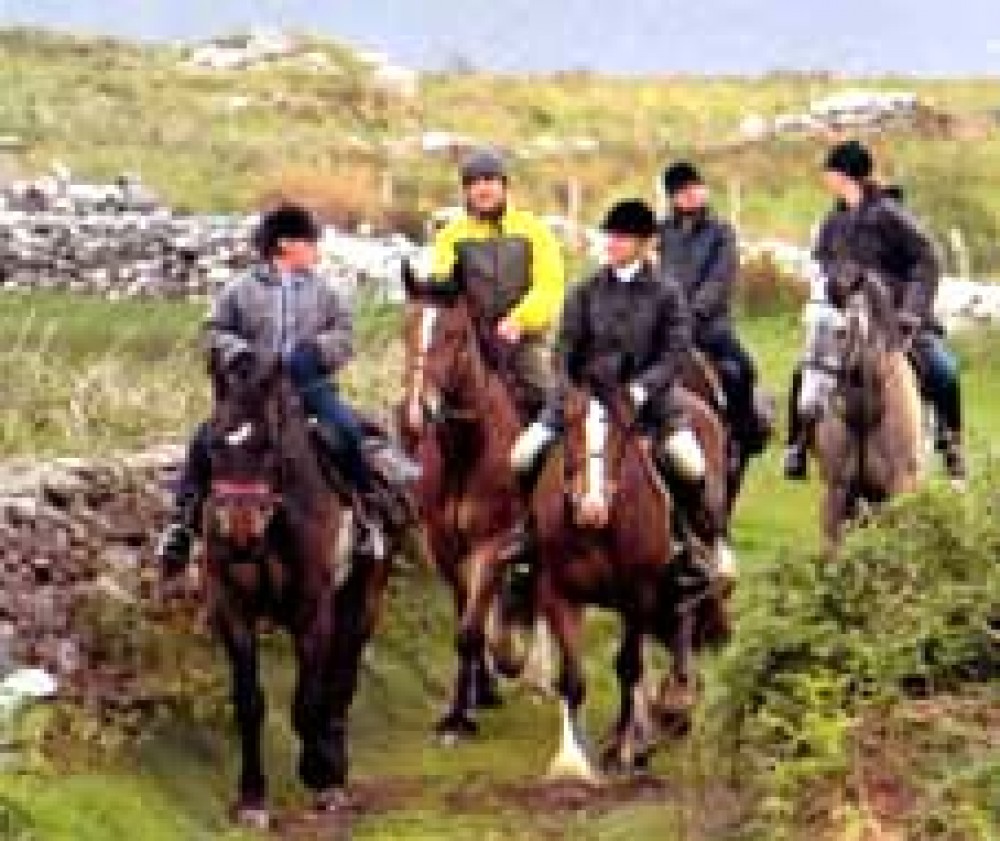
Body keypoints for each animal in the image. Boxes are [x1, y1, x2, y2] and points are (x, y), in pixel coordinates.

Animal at [199, 356, 394, 828]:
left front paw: (319, 771)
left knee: (342, 683)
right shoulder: (232, 609)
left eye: (270, 447)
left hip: (363, 603)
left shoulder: (312, 614)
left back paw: (334, 769)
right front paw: (252, 798)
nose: (239, 533)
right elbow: (249, 703)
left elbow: (307, 702)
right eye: (212, 444)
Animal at [402, 270, 536, 740]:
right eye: (407, 329)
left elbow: (470, 630)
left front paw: (460, 720)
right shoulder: (446, 548)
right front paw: (466, 704)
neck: (466, 451)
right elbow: (465, 620)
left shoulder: (491, 545)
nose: (417, 412)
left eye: (455, 334)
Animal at [532, 382, 728, 780]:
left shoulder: (638, 595)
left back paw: (674, 703)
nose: (591, 508)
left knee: (684, 619)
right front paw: (573, 761)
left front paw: (624, 750)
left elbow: (627, 667)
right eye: (570, 428)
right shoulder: (559, 593)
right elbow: (573, 678)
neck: (597, 531)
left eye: (621, 433)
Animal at [804, 266, 920, 548]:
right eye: (805, 324)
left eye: (841, 331)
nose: (810, 407)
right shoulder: (836, 492)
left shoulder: (899, 488)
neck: (865, 414)